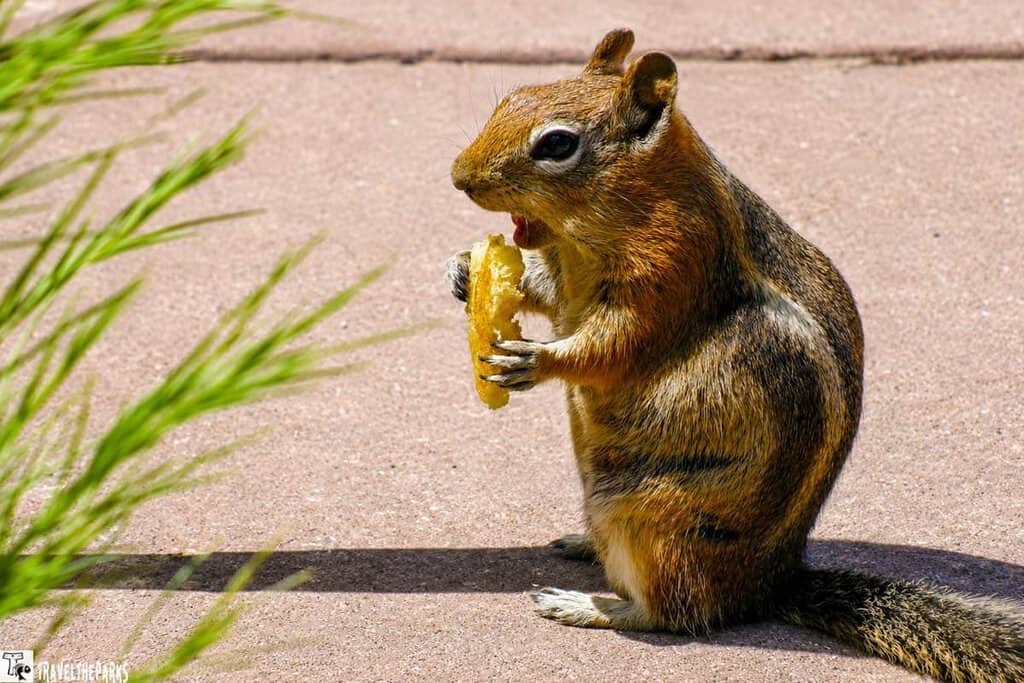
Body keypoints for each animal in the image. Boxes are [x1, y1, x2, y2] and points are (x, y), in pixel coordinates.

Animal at [446, 28, 1023, 683]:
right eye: (511, 97)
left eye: (557, 144)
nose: (460, 176)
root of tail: (768, 584)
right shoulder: (568, 271)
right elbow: (544, 287)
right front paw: (462, 269)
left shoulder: (673, 270)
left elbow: (613, 345)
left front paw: (533, 360)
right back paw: (581, 546)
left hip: (652, 517)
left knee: (676, 613)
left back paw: (589, 605)